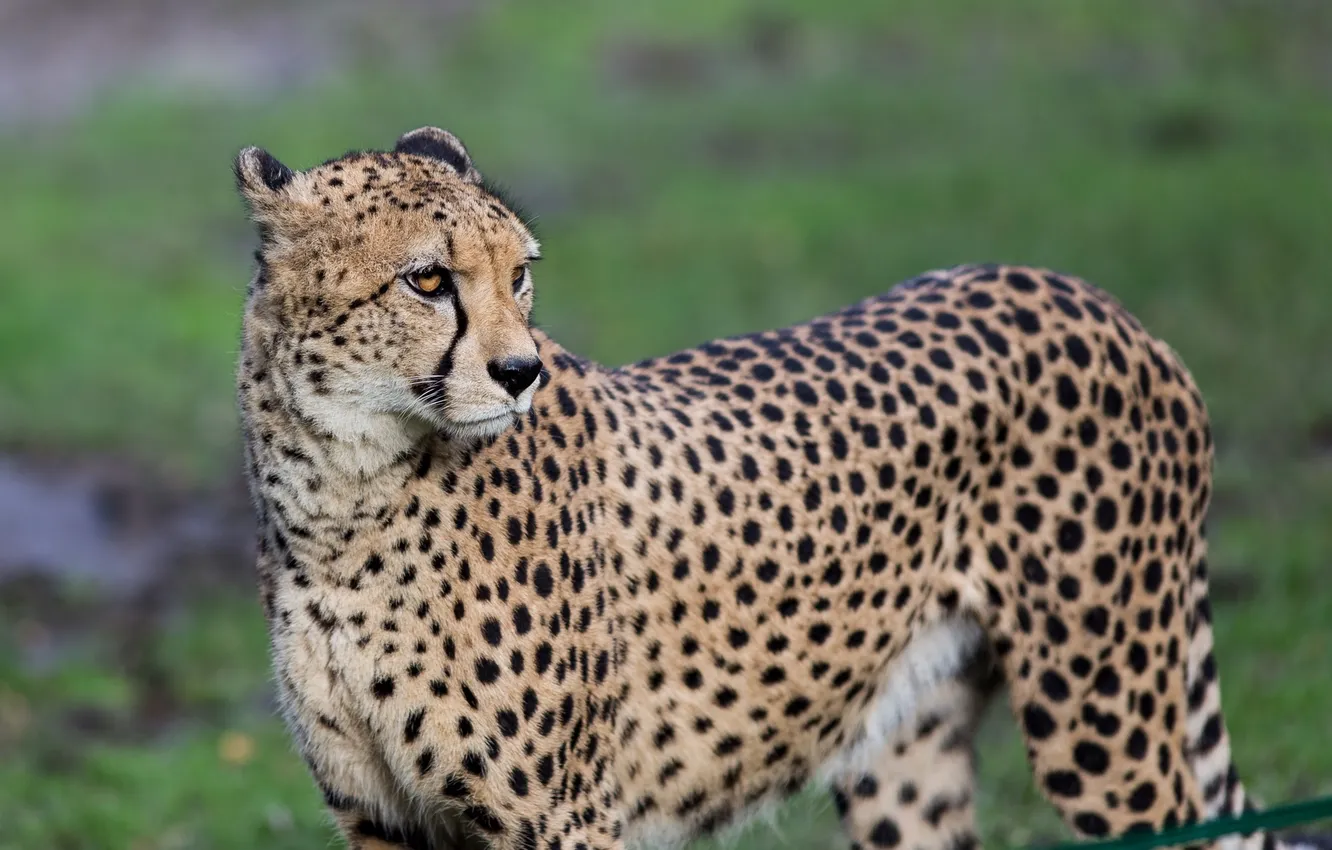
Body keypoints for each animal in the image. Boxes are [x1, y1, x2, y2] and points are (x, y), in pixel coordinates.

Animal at [233, 125, 1315, 850]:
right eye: (427, 280)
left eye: (521, 274)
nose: (519, 371)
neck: (341, 496)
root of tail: (1083, 294)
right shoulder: (383, 818)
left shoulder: (560, 817)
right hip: (906, 752)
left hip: (1103, 714)